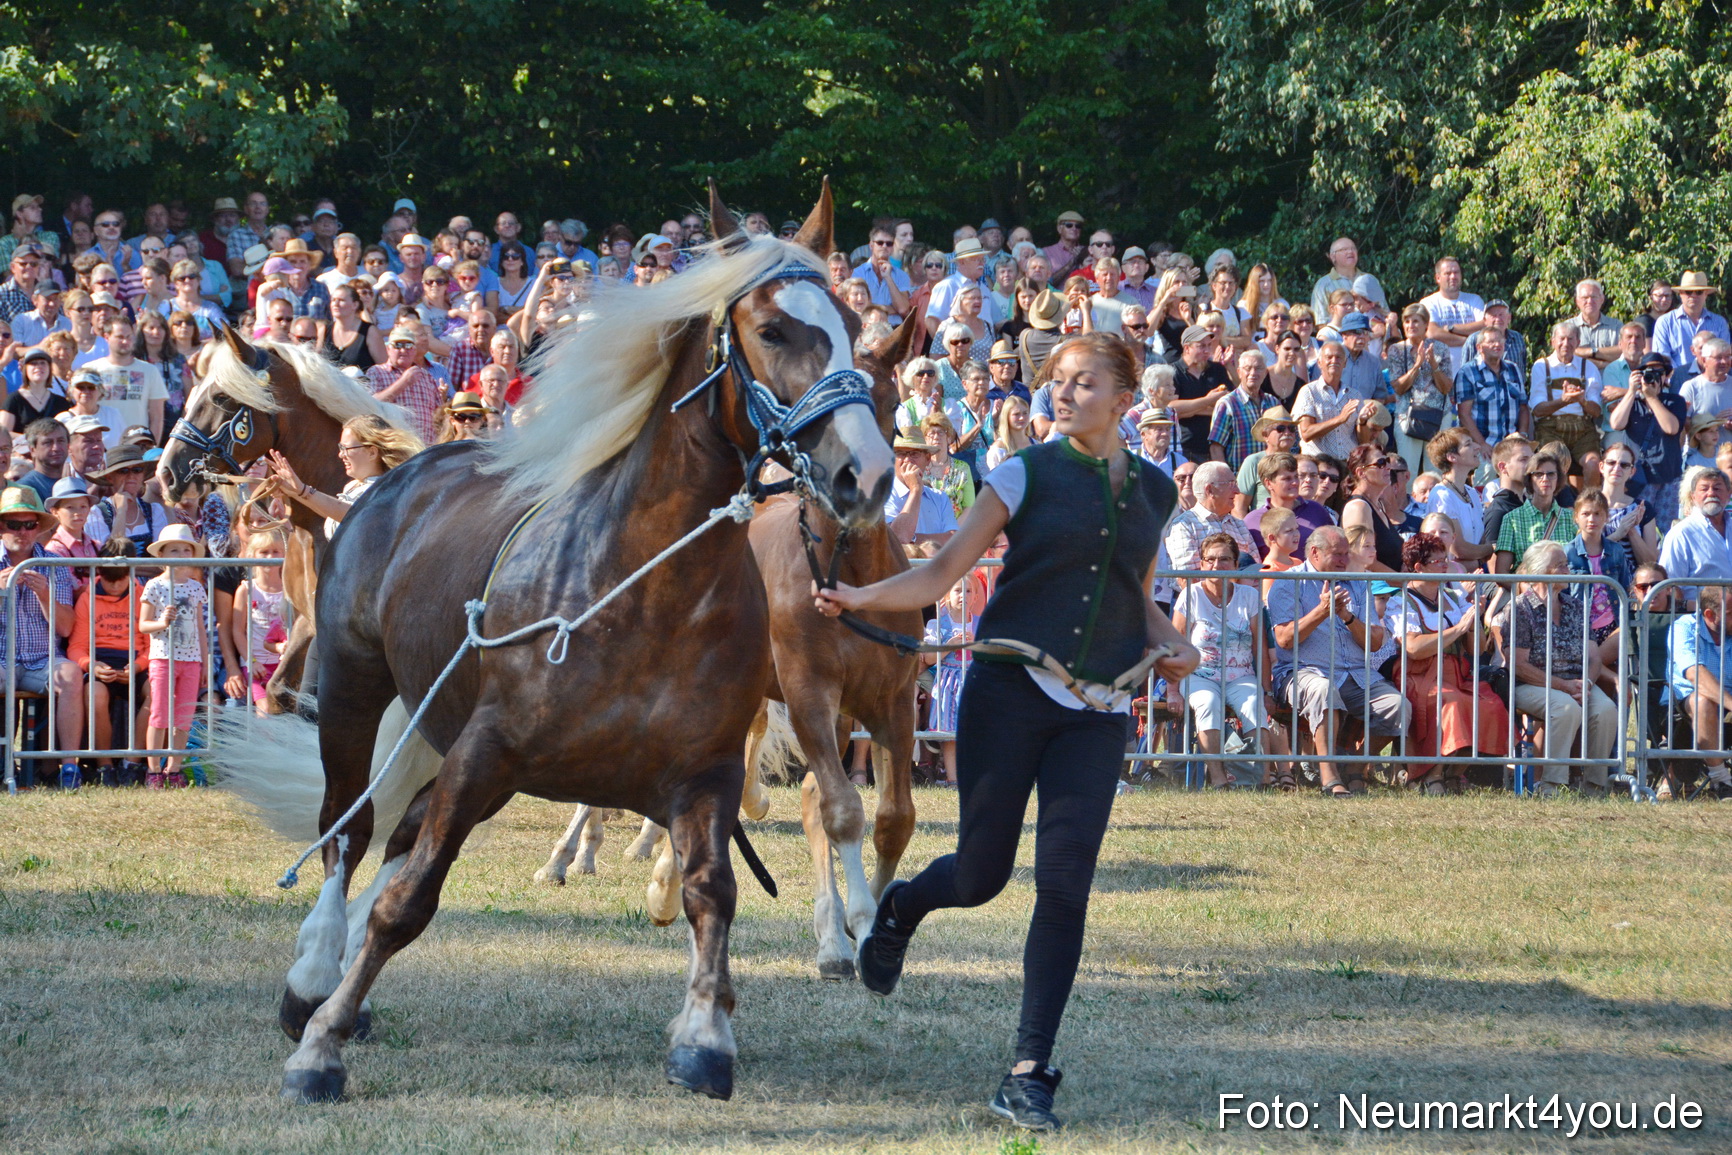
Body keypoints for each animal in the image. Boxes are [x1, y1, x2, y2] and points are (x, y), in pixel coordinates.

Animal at [211, 181, 893, 1105]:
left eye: (853, 326)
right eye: (773, 330)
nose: (870, 473)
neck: (640, 587)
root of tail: (392, 479)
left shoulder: (706, 773)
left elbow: (711, 893)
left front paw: (704, 1036)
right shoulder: (483, 750)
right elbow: (406, 900)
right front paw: (320, 1046)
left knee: (394, 832)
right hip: (357, 693)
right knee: (347, 830)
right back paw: (317, 974)